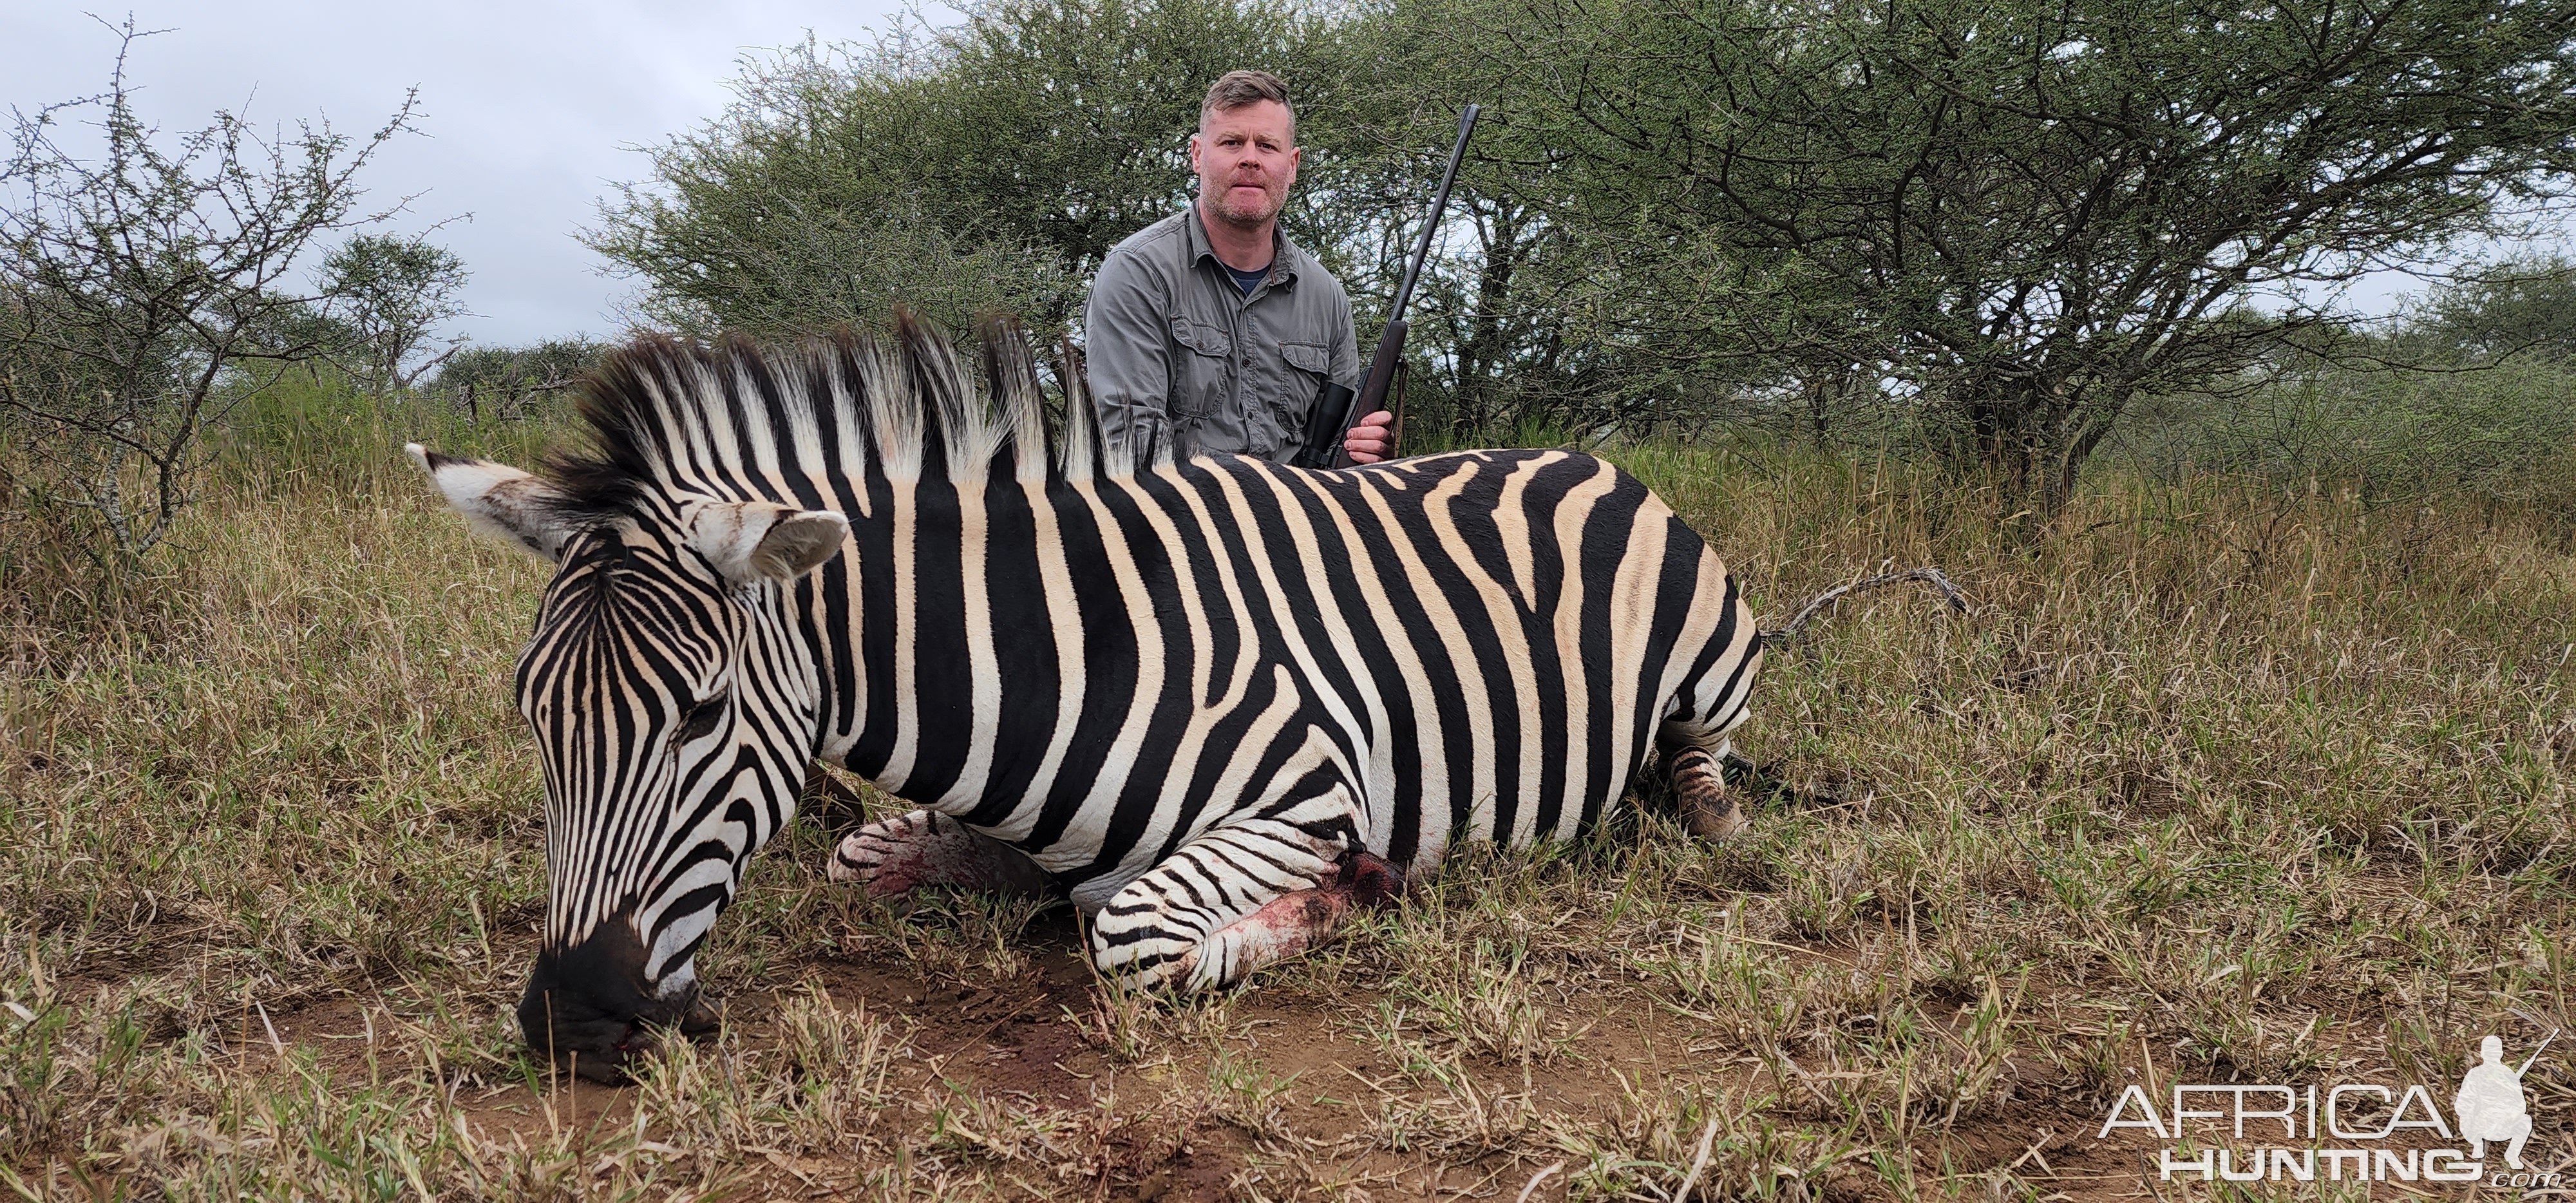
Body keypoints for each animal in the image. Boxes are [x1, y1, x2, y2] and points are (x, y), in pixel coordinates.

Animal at [407, 322, 1772, 1082]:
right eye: (534, 716)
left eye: (697, 715)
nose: (571, 1021)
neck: (1058, 654)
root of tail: (1581, 452)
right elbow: (865, 857)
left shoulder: (1308, 793)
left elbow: (1133, 930)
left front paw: (1338, 900)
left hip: (1714, 663)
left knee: (1703, 764)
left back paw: (1713, 823)